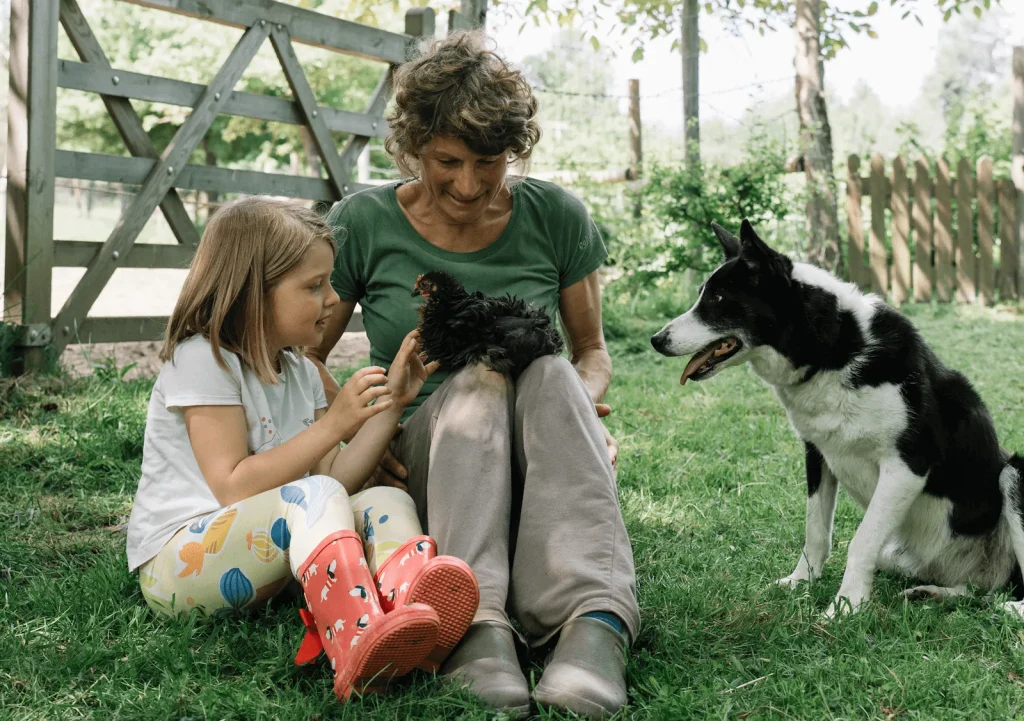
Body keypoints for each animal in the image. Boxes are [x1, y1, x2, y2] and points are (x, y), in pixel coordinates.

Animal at [651, 221, 1024, 618]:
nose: (656, 340)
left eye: (718, 300)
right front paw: (802, 582)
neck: (833, 351)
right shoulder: (818, 455)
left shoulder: (906, 467)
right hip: (908, 557)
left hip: (1014, 474)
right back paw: (934, 594)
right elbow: (815, 531)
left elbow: (860, 541)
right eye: (702, 296)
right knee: (979, 591)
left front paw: (846, 606)